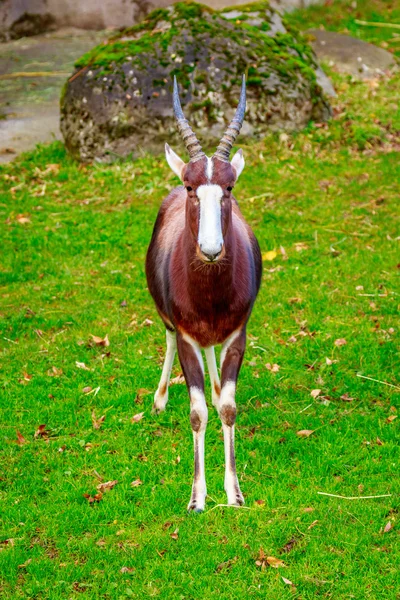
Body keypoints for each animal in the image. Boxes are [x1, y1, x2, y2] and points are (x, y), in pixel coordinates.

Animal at [145, 76, 260, 510]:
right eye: (191, 185)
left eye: (229, 186)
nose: (211, 250)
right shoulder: (187, 339)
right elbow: (196, 414)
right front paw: (197, 499)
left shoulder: (238, 335)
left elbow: (226, 408)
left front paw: (234, 493)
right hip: (170, 323)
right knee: (166, 338)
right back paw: (159, 399)